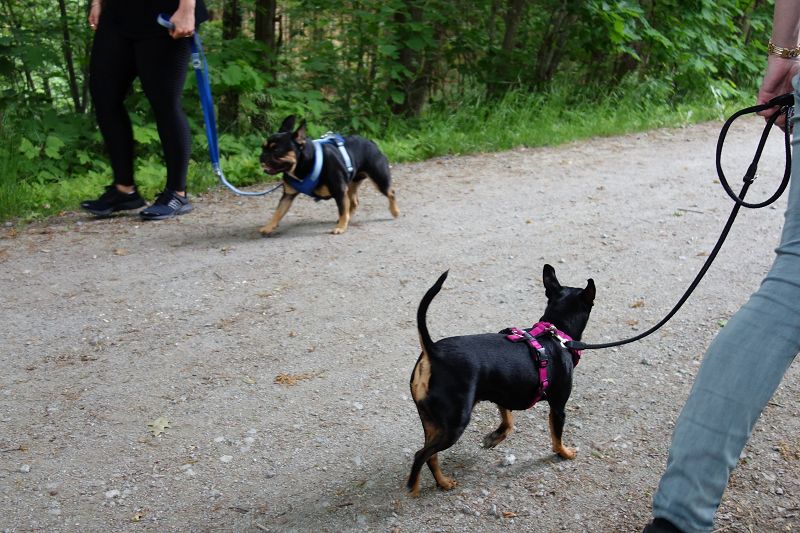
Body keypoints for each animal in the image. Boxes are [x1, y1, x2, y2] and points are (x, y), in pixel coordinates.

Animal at [260, 116, 400, 235]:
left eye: (276, 150)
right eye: (263, 148)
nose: (262, 156)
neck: (305, 163)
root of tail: (371, 143)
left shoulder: (339, 191)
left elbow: (342, 209)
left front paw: (341, 227)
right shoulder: (288, 195)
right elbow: (278, 212)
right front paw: (269, 226)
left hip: (379, 179)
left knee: (390, 192)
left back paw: (395, 211)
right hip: (350, 185)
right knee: (353, 202)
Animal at [406, 264, 592, 494]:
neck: (555, 334)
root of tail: (433, 351)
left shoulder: (505, 394)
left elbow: (508, 421)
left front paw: (494, 438)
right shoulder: (558, 407)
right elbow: (556, 438)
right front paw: (565, 453)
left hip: (432, 421)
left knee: (430, 456)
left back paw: (443, 482)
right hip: (454, 425)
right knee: (421, 455)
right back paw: (413, 487)